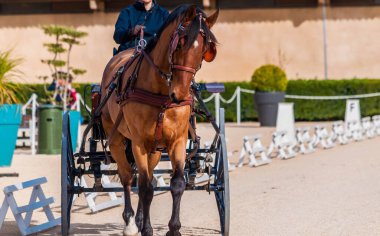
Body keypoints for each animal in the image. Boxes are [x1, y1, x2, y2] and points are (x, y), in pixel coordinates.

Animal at [100, 3, 220, 236]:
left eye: (205, 50)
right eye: (180, 43)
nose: (179, 95)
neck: (162, 94)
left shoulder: (177, 141)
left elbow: (176, 184)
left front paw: (173, 229)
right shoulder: (138, 143)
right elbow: (145, 188)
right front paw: (146, 229)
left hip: (155, 149)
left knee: (145, 176)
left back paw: (138, 219)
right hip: (117, 140)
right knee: (127, 177)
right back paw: (130, 222)